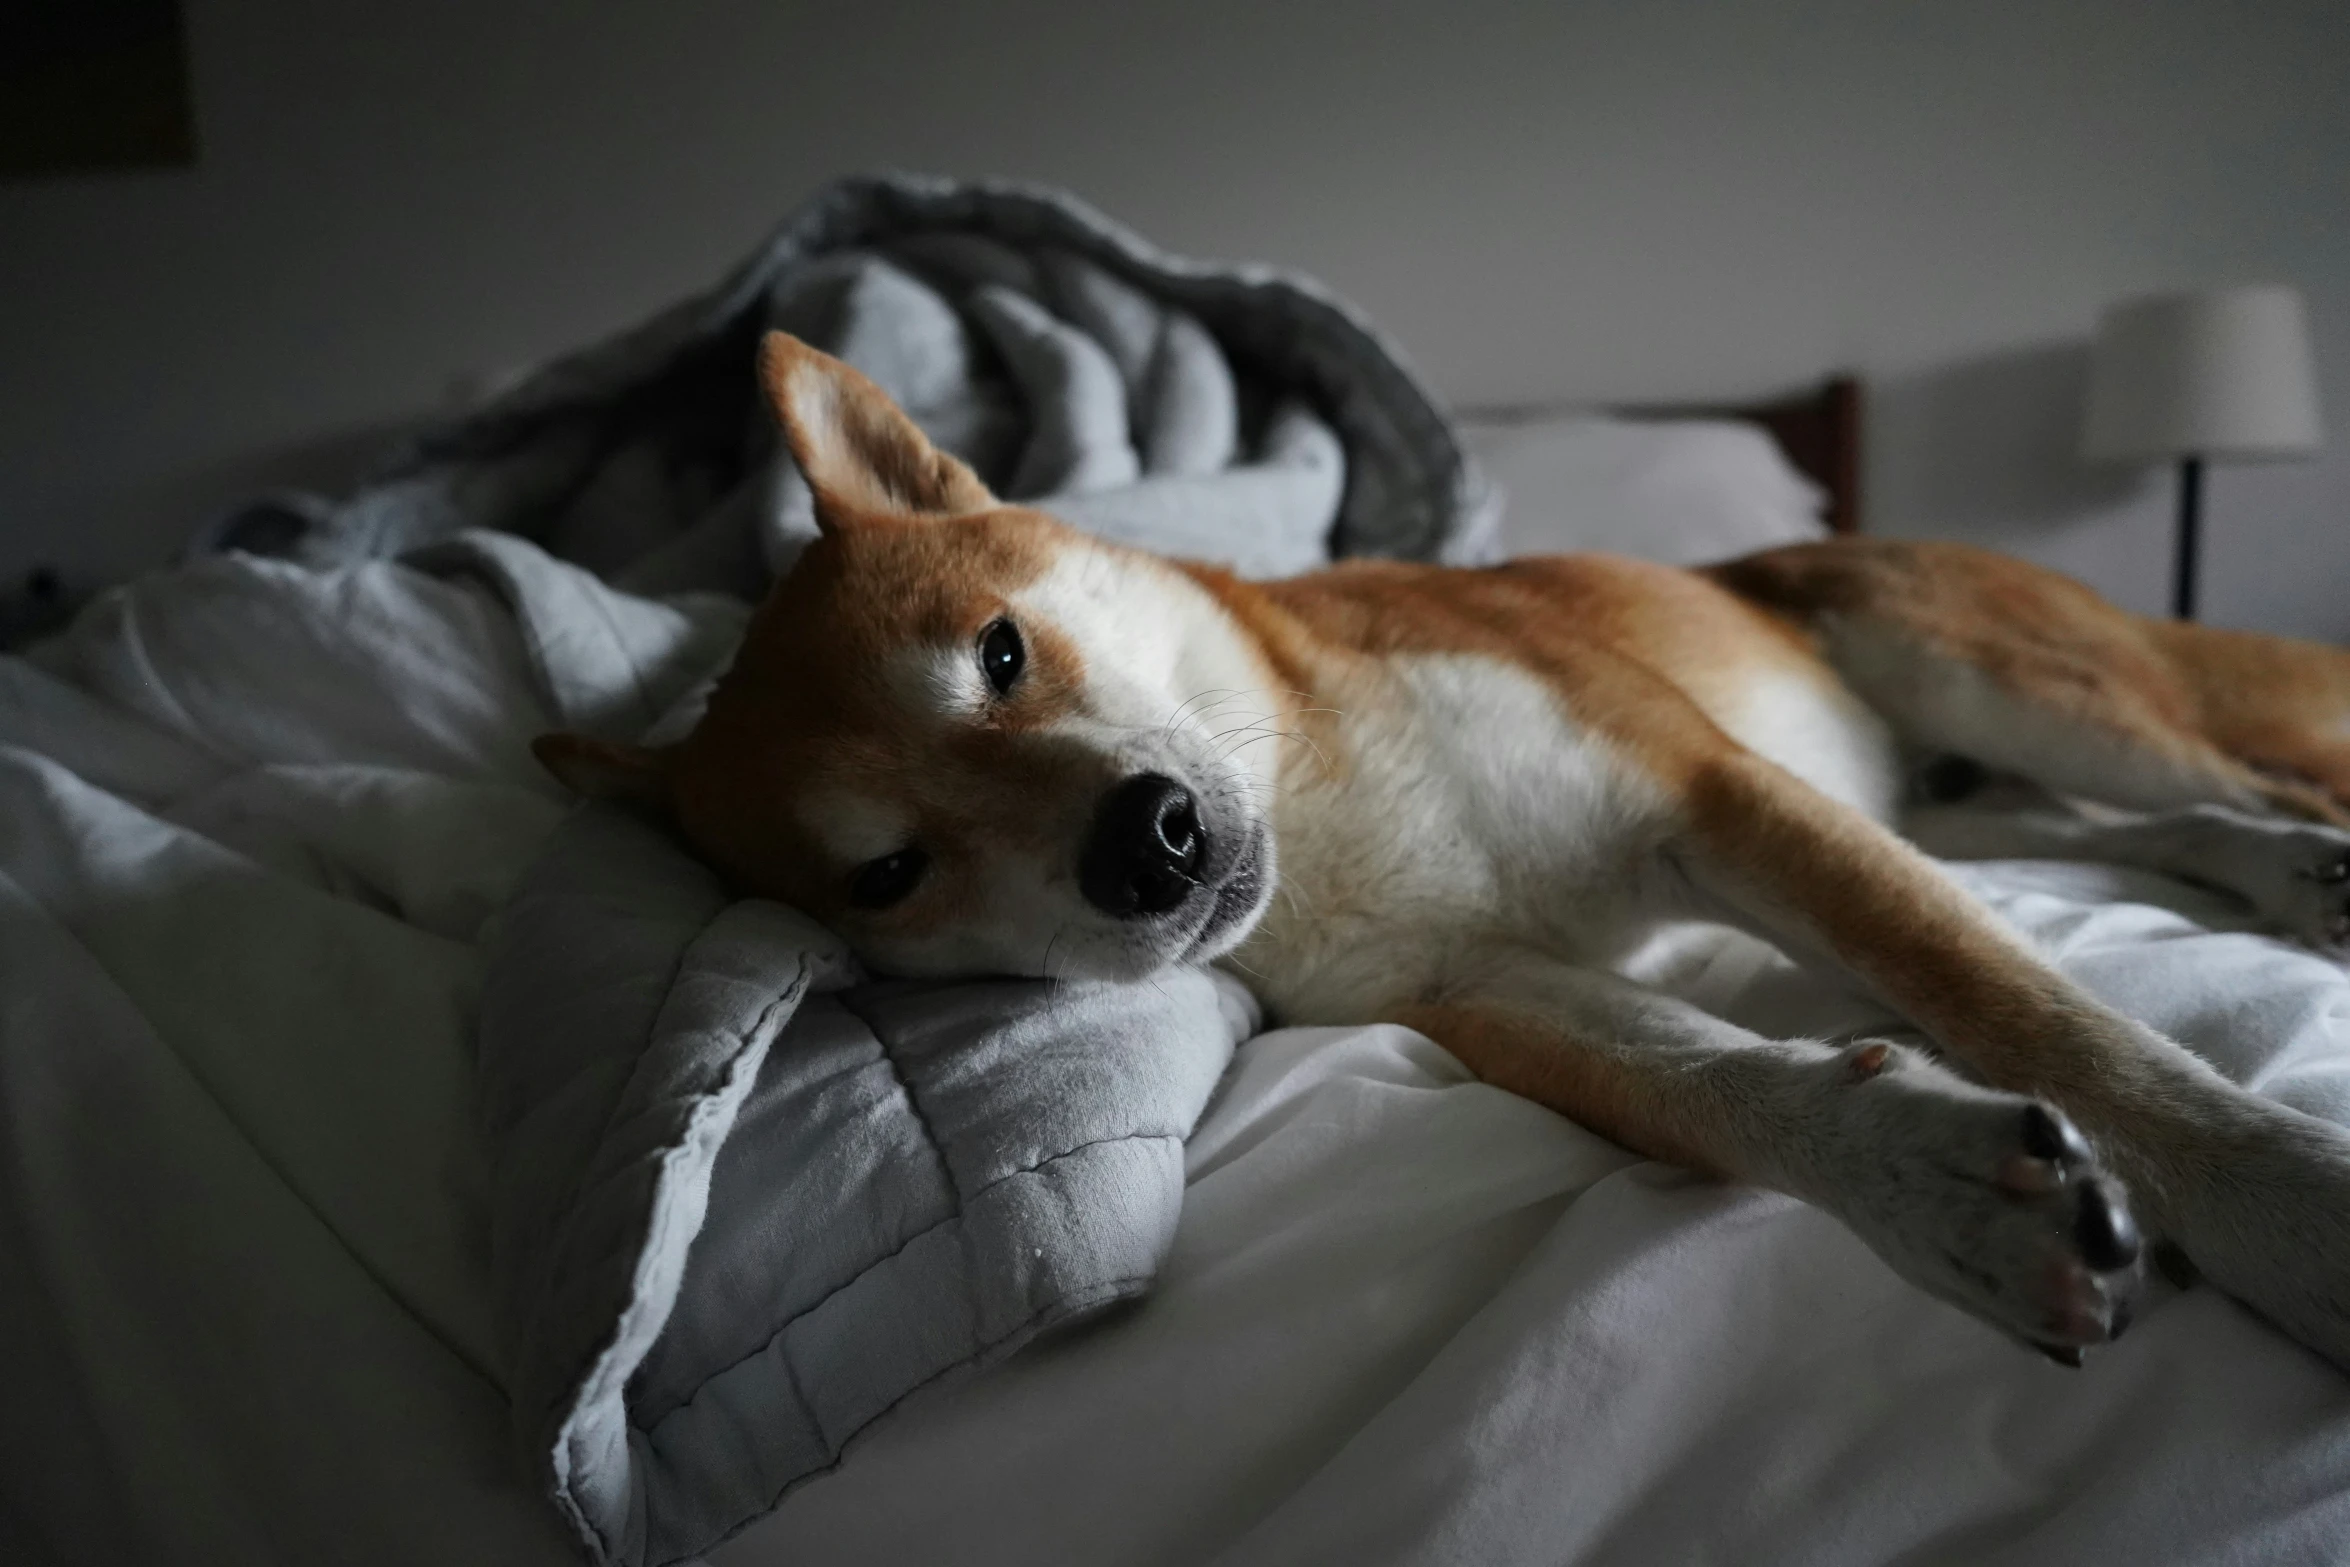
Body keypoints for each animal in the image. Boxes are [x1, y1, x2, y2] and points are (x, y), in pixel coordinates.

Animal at [545, 331, 2350, 1372]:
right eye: (886, 875)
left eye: (998, 653)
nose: (1148, 846)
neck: (1327, 803)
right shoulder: (1475, 985)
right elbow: (1716, 1091)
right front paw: (1935, 1182)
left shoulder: (1714, 796)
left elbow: (2034, 1013)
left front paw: (2280, 1211)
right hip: (1945, 788)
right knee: (2151, 824)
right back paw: (2293, 881)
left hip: (1994, 686)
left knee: (2221, 780)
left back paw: (2309, 859)